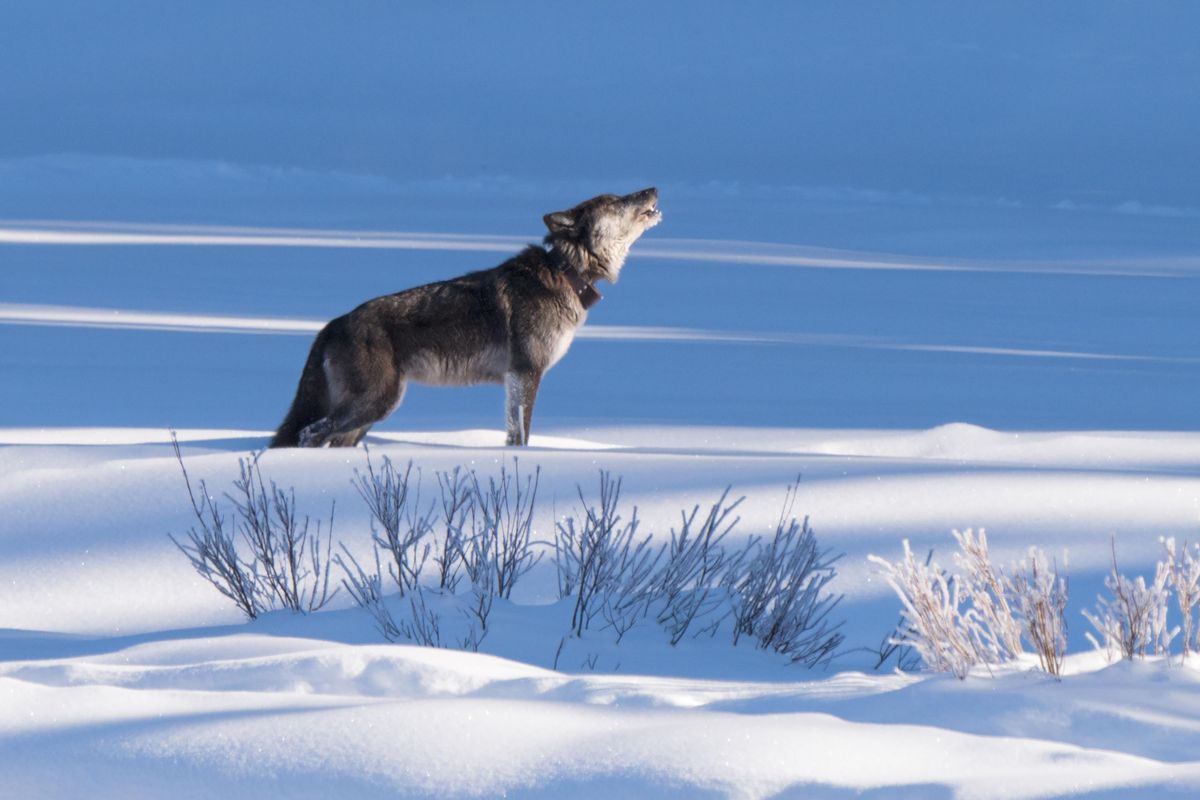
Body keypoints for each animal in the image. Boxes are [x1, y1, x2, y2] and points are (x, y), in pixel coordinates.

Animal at [271, 189, 662, 450]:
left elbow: (512, 433)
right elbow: (522, 433)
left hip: (372, 411)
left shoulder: (514, 379)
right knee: (308, 433)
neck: (567, 273)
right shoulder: (525, 373)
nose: (652, 188)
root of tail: (332, 324)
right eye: (615, 201)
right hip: (375, 403)